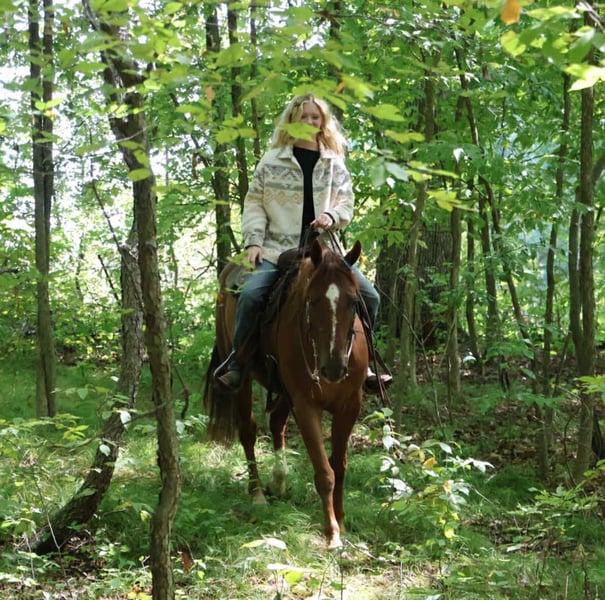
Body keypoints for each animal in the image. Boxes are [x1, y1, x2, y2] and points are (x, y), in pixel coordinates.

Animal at [203, 239, 369, 548]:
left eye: (354, 301)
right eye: (312, 301)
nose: (333, 368)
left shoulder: (350, 405)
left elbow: (339, 466)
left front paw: (341, 521)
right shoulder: (305, 405)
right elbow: (325, 472)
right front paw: (331, 533)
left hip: (283, 389)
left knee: (276, 422)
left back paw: (279, 482)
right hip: (243, 376)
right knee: (248, 431)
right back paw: (257, 494)